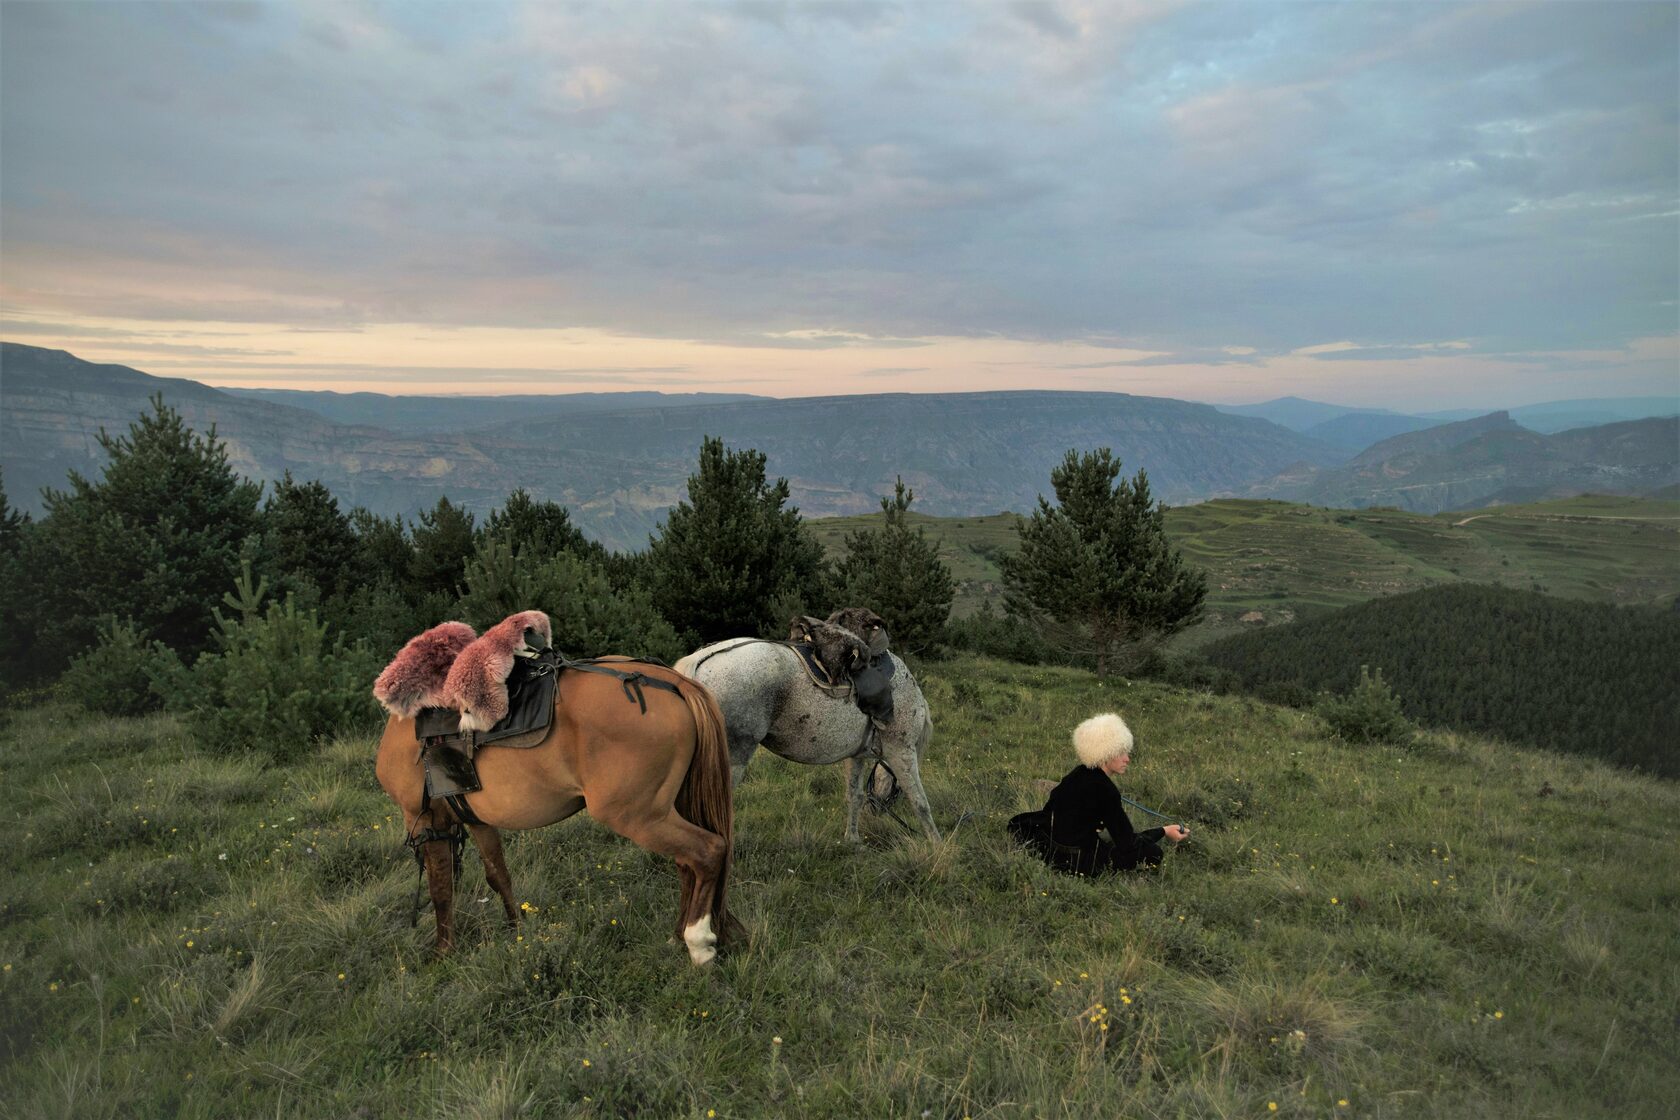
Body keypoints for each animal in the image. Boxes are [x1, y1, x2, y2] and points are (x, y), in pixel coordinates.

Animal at [381, 661, 735, 967]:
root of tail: (671, 681)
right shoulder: (477, 820)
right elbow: (498, 875)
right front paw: (517, 930)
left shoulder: (425, 820)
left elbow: (440, 888)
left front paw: (443, 952)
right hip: (669, 809)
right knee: (687, 863)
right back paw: (678, 936)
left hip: (639, 816)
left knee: (708, 851)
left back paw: (698, 942)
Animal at [682, 614, 947, 839]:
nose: (877, 811)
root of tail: (701, 660)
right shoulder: (900, 750)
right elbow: (920, 801)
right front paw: (936, 845)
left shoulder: (856, 755)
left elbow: (854, 795)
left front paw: (852, 840)